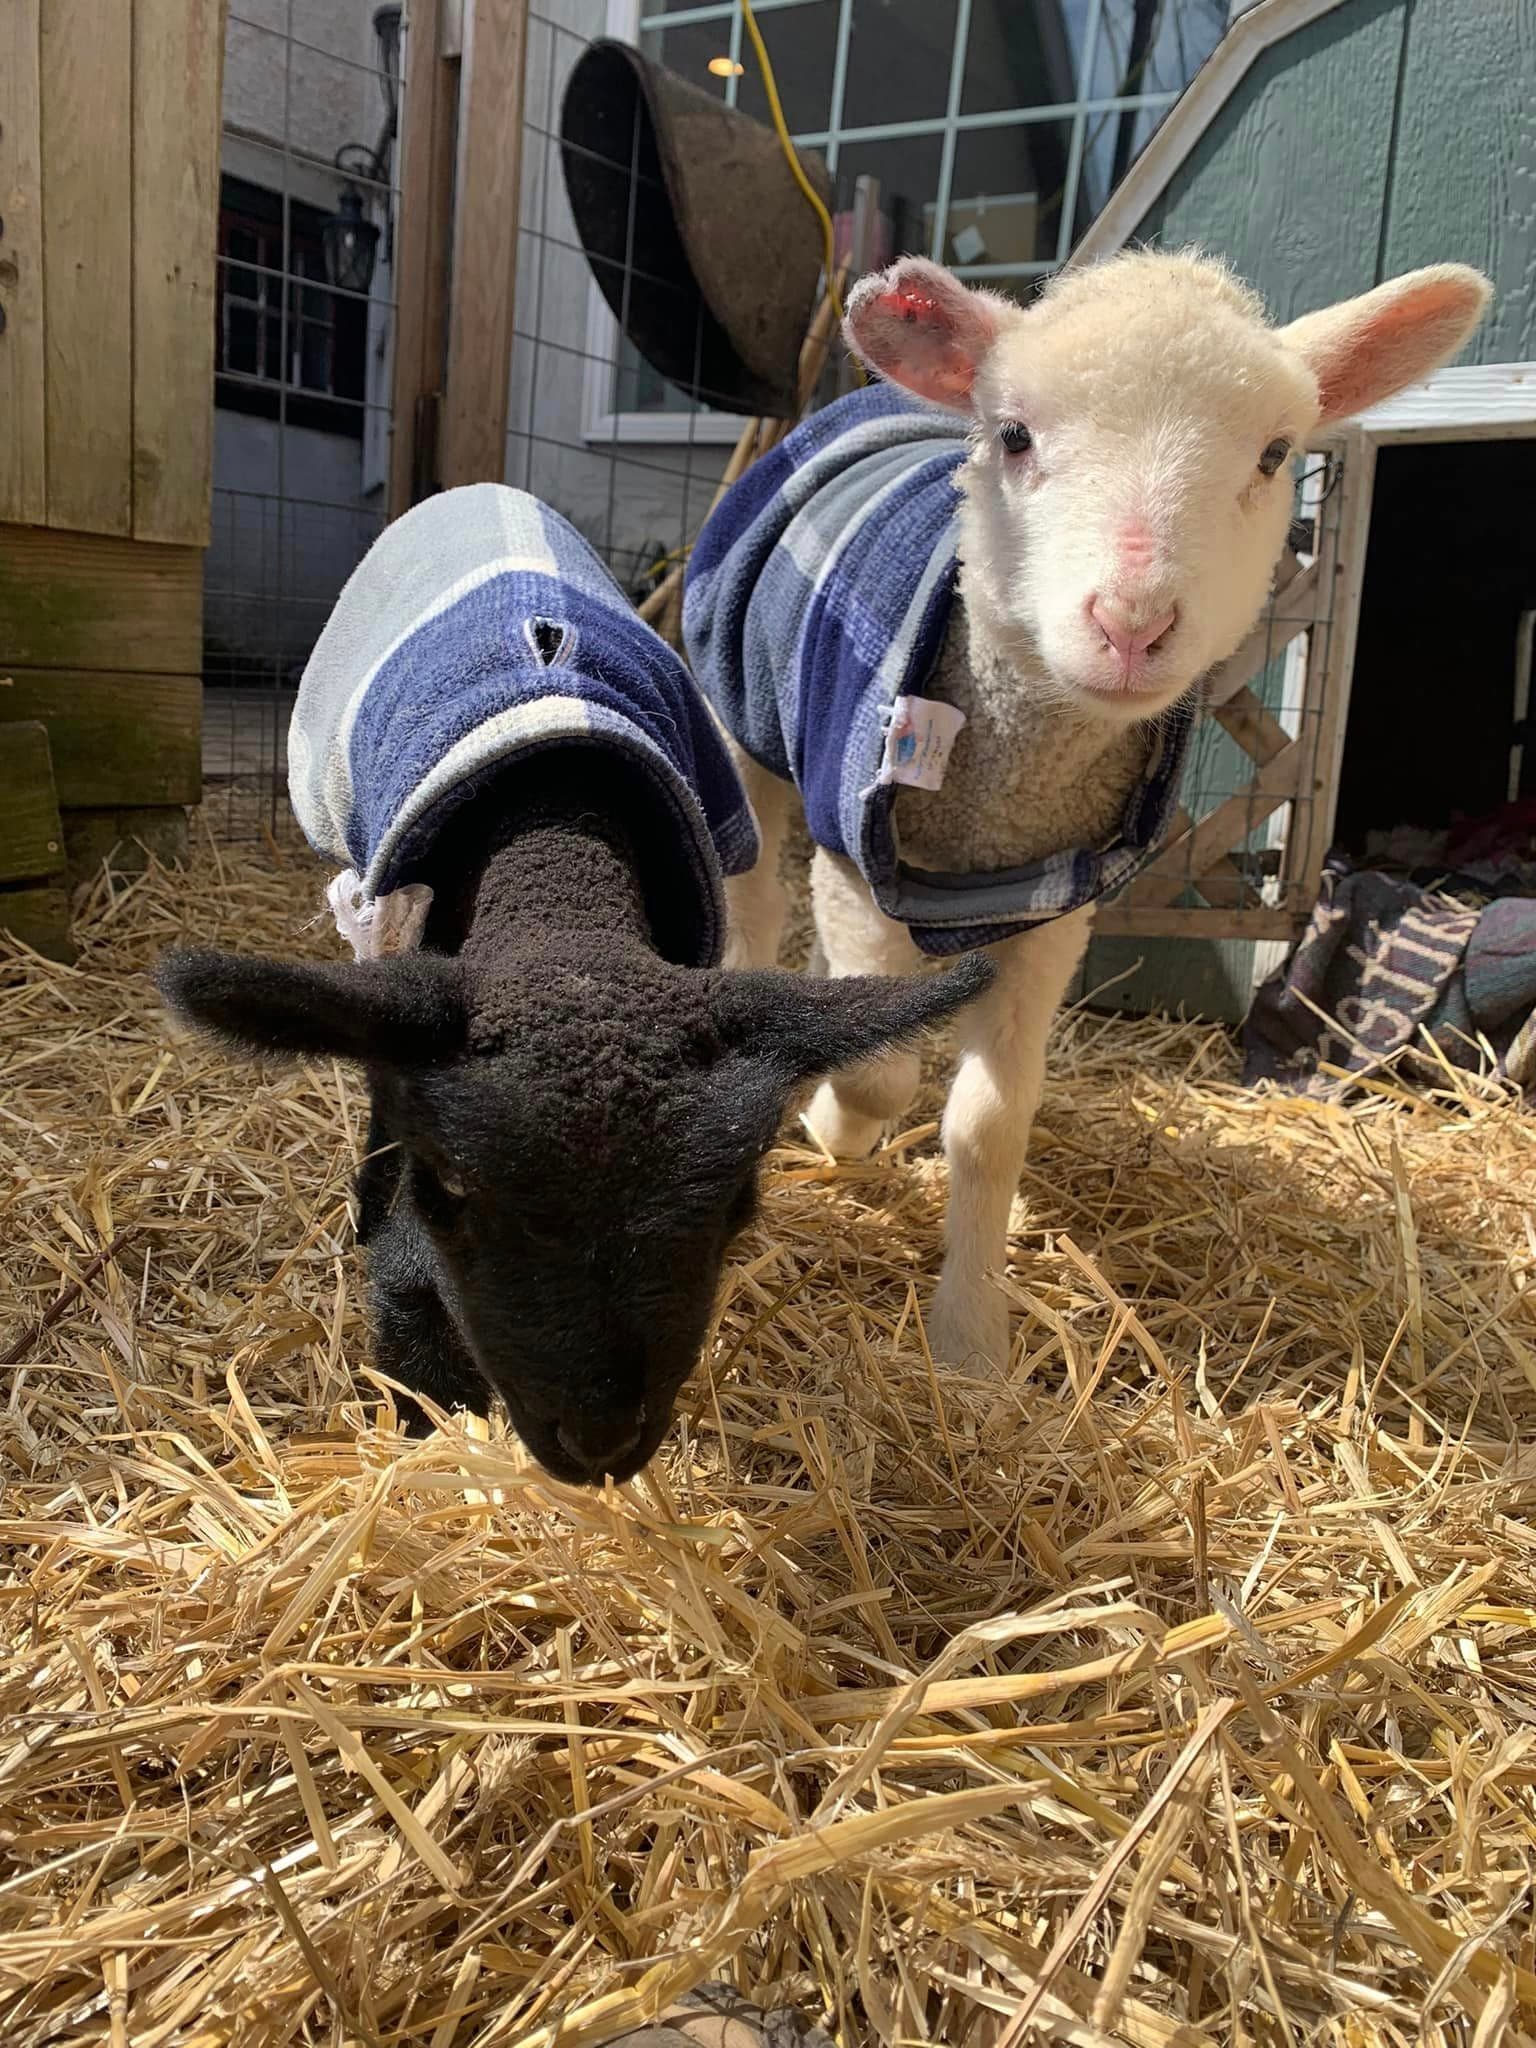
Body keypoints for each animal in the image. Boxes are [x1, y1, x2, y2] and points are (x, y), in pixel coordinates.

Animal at [157, 485, 992, 1485]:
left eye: (736, 1200)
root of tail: (483, 492)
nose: (599, 1445)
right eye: (452, 1185)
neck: (558, 860)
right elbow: (394, 1187)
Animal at [684, 249, 1491, 1373]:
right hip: (738, 723)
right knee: (754, 897)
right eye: (1015, 435)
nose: (1133, 624)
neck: (1009, 784)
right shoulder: (854, 871)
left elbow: (988, 1124)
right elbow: (883, 1073)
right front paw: (834, 1132)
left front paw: (971, 1346)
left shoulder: (1055, 907)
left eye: (1275, 453)